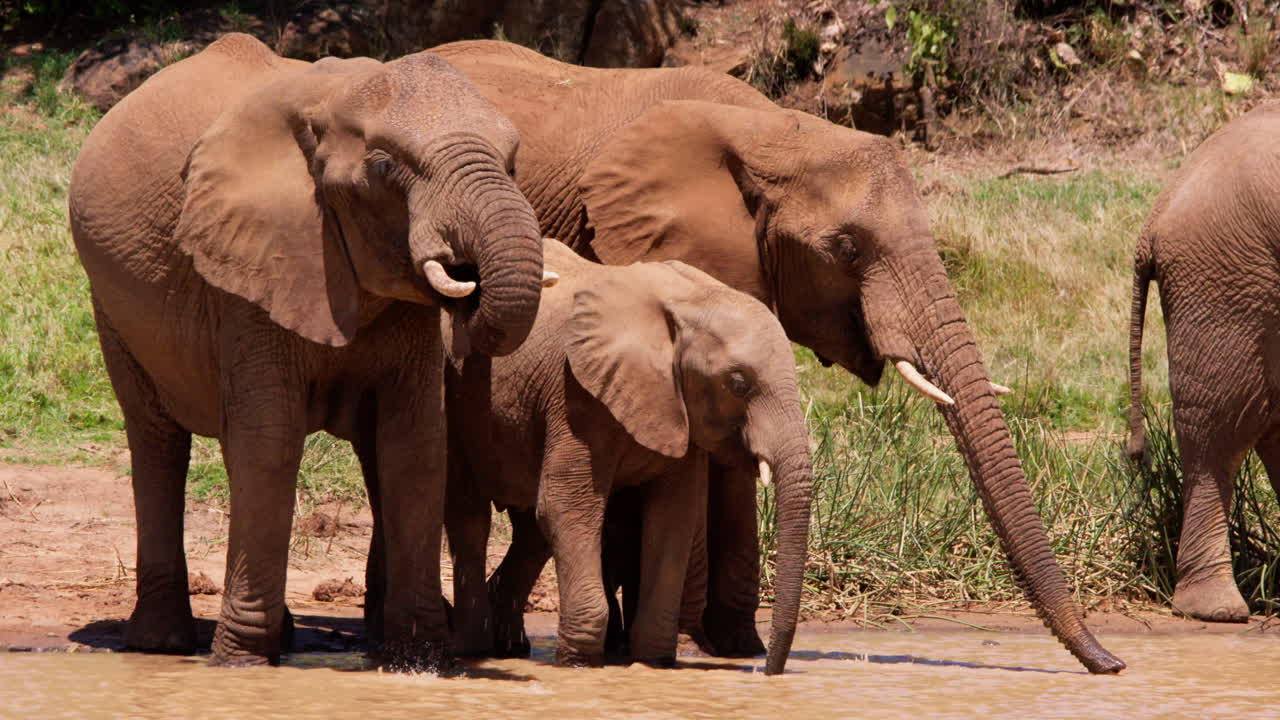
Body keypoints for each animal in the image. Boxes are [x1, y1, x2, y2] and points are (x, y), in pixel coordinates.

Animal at [67, 34, 547, 668]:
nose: (467, 275)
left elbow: (415, 443)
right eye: (384, 168)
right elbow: (269, 441)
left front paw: (421, 661)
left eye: (513, 165)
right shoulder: (248, 268)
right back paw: (162, 642)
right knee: (157, 439)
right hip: (112, 305)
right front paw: (241, 662)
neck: (332, 100)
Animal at [443, 239, 812, 674]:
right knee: (471, 517)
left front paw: (653, 662)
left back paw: (509, 646)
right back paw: (474, 647)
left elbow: (673, 518)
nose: (766, 668)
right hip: (457, 400)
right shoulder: (576, 395)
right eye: (738, 383)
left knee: (531, 532)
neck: (688, 302)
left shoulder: (677, 411)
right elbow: (567, 506)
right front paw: (579, 664)